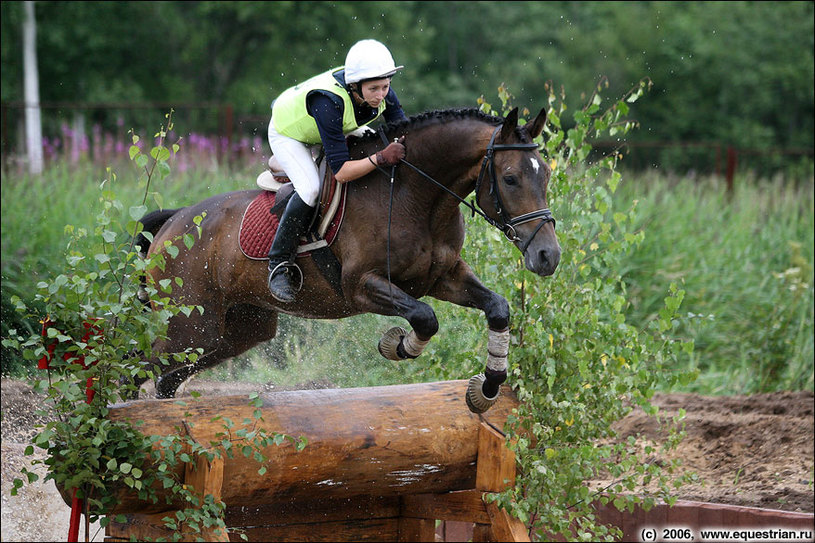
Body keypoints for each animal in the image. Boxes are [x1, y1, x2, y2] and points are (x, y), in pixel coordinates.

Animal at [137, 105, 564, 412]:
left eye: (545, 177)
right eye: (510, 179)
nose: (548, 256)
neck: (413, 195)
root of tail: (171, 224)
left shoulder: (443, 277)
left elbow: (498, 307)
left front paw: (487, 386)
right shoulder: (361, 285)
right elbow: (425, 317)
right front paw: (398, 345)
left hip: (235, 331)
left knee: (165, 377)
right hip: (187, 326)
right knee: (141, 364)